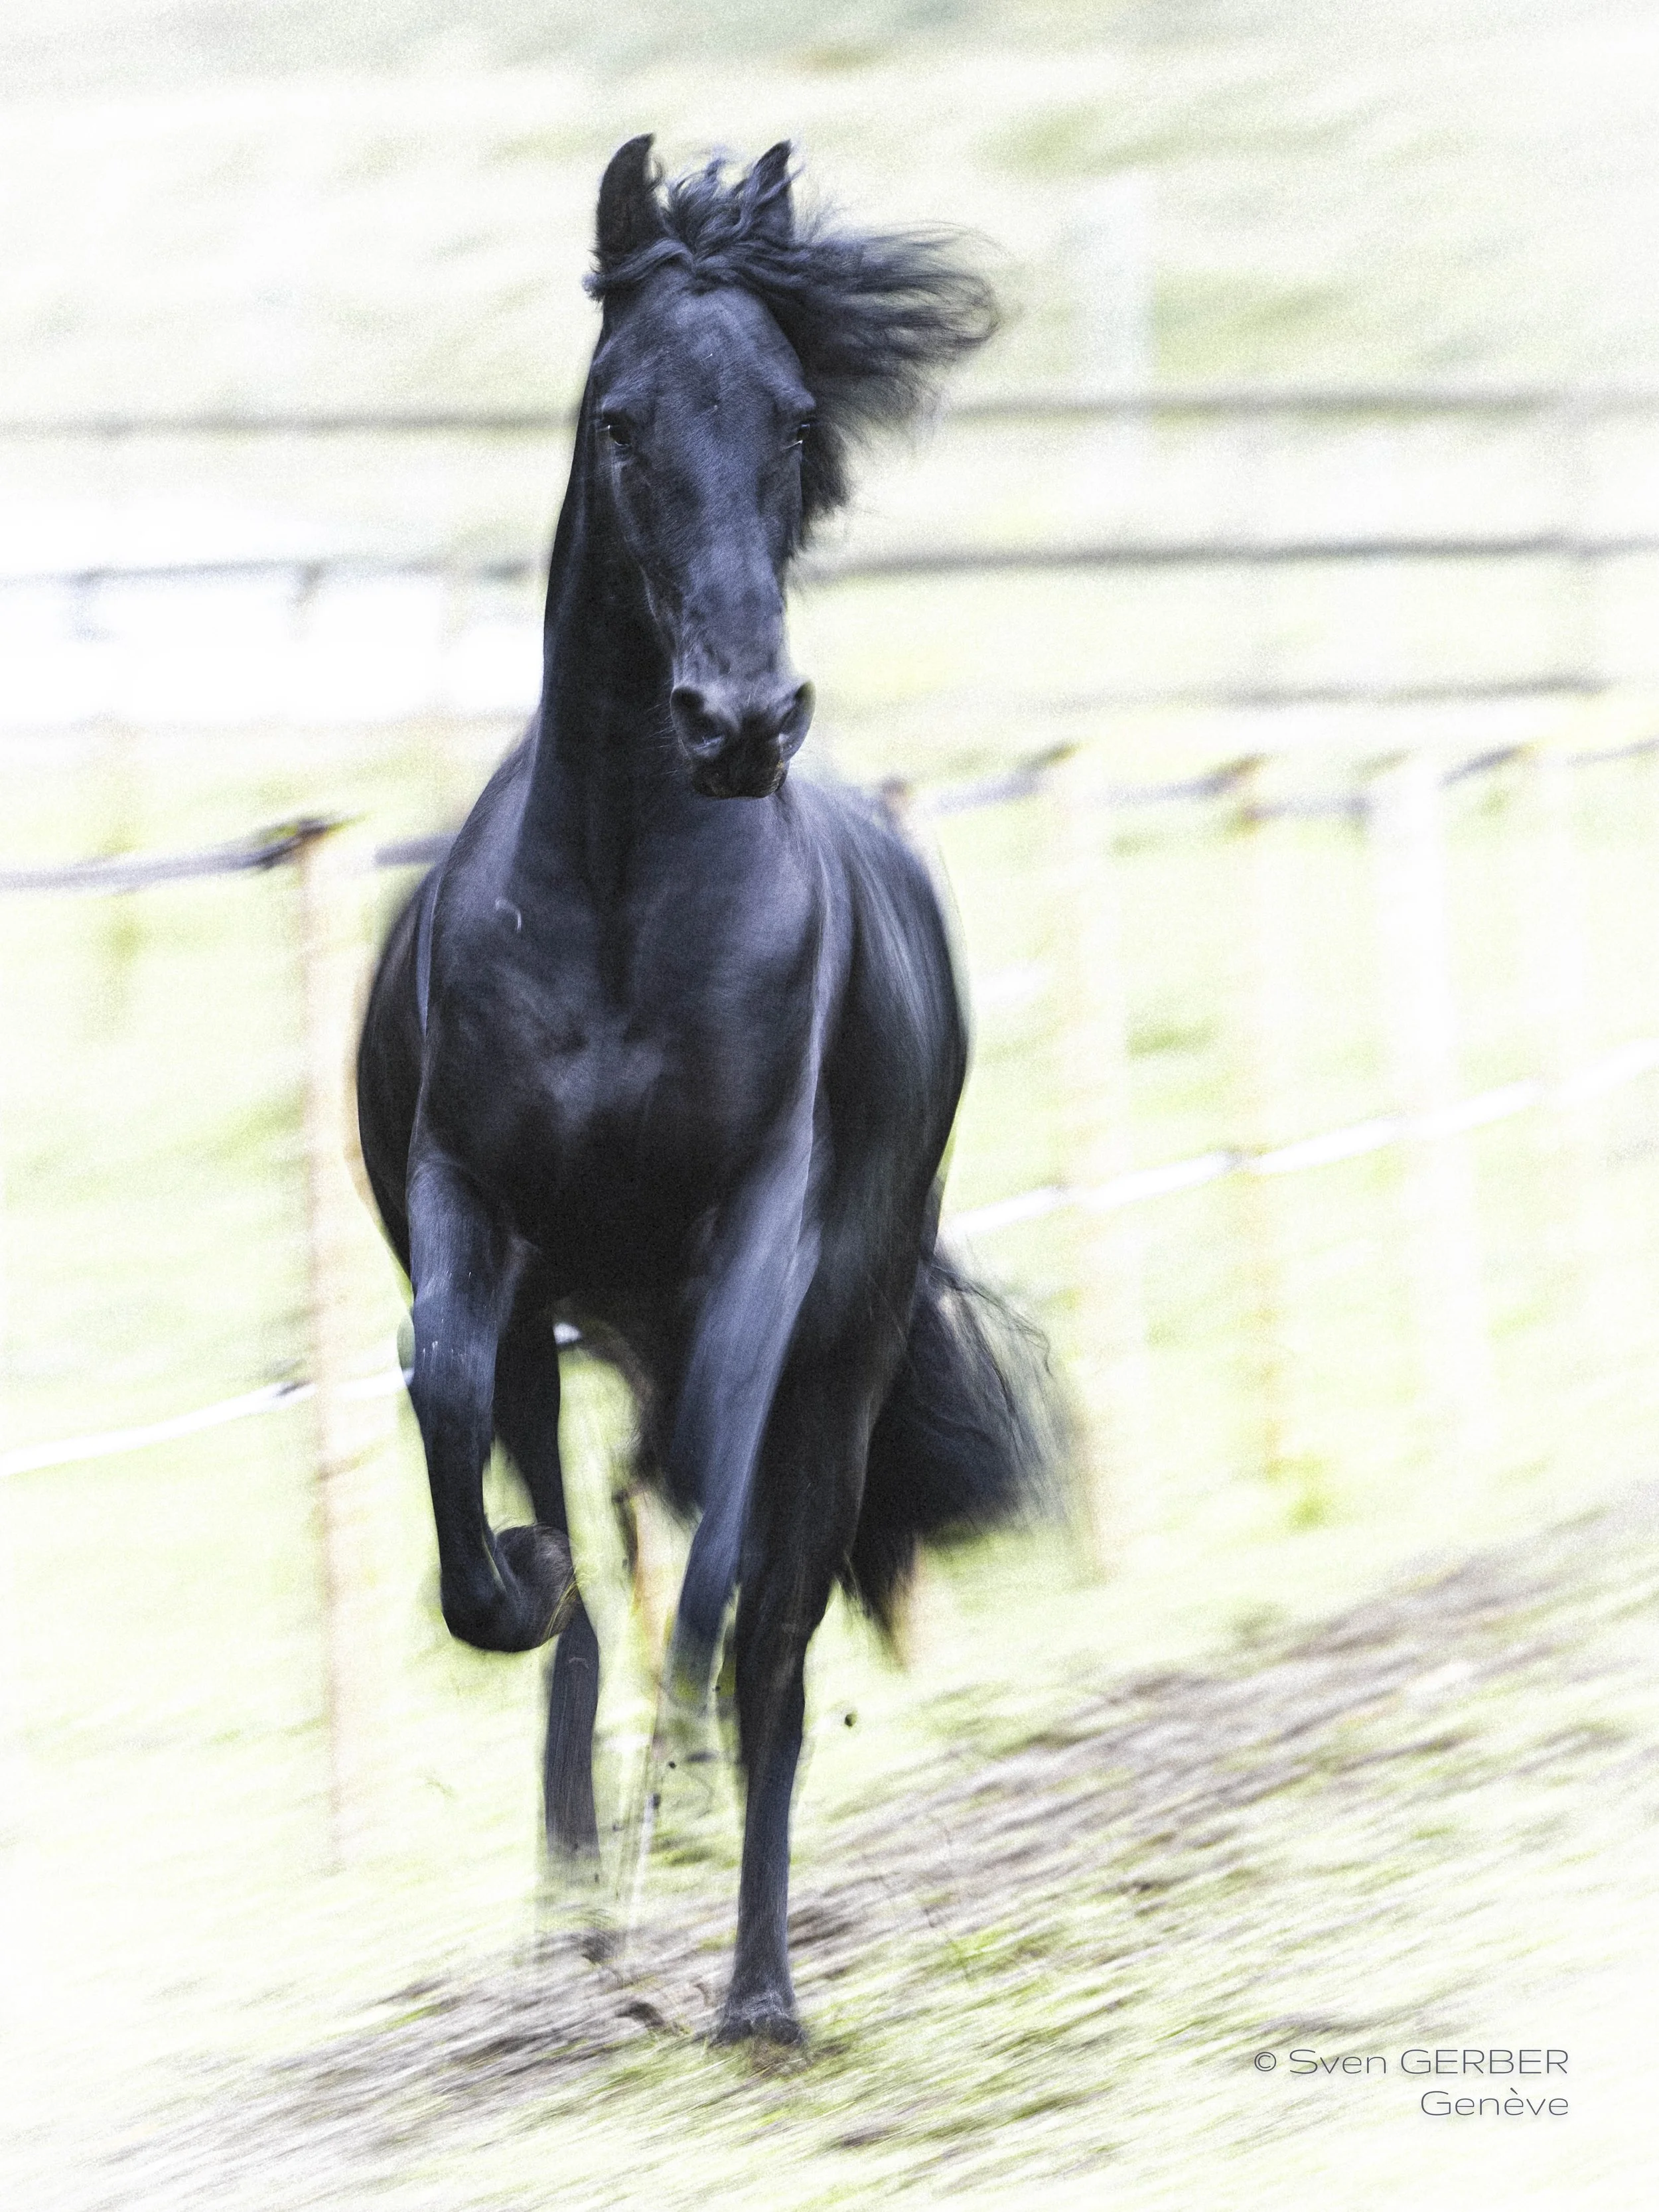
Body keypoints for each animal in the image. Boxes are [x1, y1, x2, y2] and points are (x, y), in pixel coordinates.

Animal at [356, 135, 1052, 2046]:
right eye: (617, 417)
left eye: (794, 418)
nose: (739, 721)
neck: (616, 900)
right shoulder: (472, 1208)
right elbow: (456, 1414)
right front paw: (515, 1598)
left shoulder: (756, 1238)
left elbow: (733, 1572)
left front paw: (677, 1806)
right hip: (578, 1325)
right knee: (584, 1535)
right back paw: (584, 1905)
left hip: (848, 1343)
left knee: (770, 1623)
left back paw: (750, 1987)